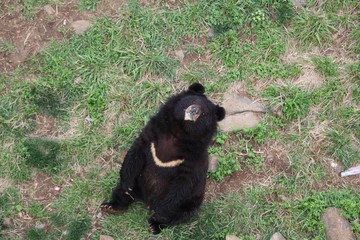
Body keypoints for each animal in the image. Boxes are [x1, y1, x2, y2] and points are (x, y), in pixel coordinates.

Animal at [101, 83, 225, 234]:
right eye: (193, 101)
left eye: (204, 113)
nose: (193, 111)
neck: (179, 132)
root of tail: (146, 200)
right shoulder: (153, 134)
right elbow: (135, 153)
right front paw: (126, 185)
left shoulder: (193, 158)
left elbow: (182, 186)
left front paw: (160, 211)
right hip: (138, 181)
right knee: (121, 191)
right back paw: (111, 206)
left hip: (192, 200)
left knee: (180, 214)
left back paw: (155, 224)